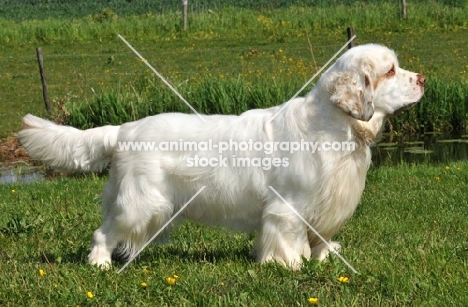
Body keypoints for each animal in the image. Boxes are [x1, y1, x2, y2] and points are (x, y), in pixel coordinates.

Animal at [20, 43, 426, 270]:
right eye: (390, 70)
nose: (423, 79)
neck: (334, 126)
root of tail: (124, 129)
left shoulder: (328, 202)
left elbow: (321, 238)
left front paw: (323, 258)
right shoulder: (288, 207)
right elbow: (287, 238)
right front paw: (289, 266)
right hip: (141, 203)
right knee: (103, 233)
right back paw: (101, 265)